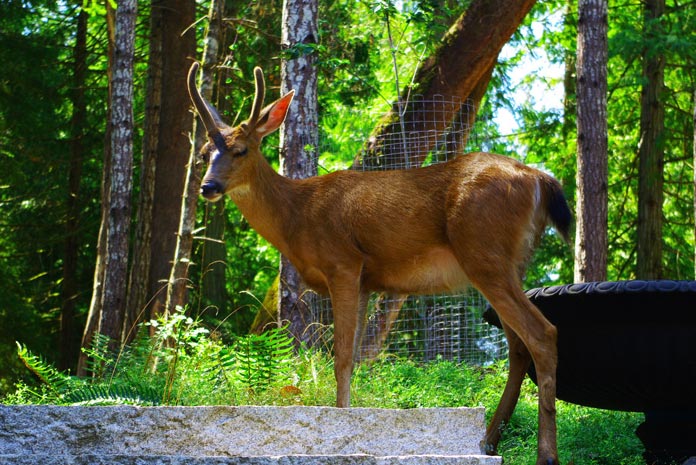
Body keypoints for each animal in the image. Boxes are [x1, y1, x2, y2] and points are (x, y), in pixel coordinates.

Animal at [186, 61, 572, 464]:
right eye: (204, 154)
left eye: (241, 150)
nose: (208, 187)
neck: (298, 217)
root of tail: (541, 180)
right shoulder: (366, 282)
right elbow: (353, 358)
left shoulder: (342, 262)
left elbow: (340, 357)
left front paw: (340, 424)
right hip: (510, 263)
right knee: (518, 347)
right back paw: (489, 441)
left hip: (484, 254)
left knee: (542, 334)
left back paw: (546, 454)